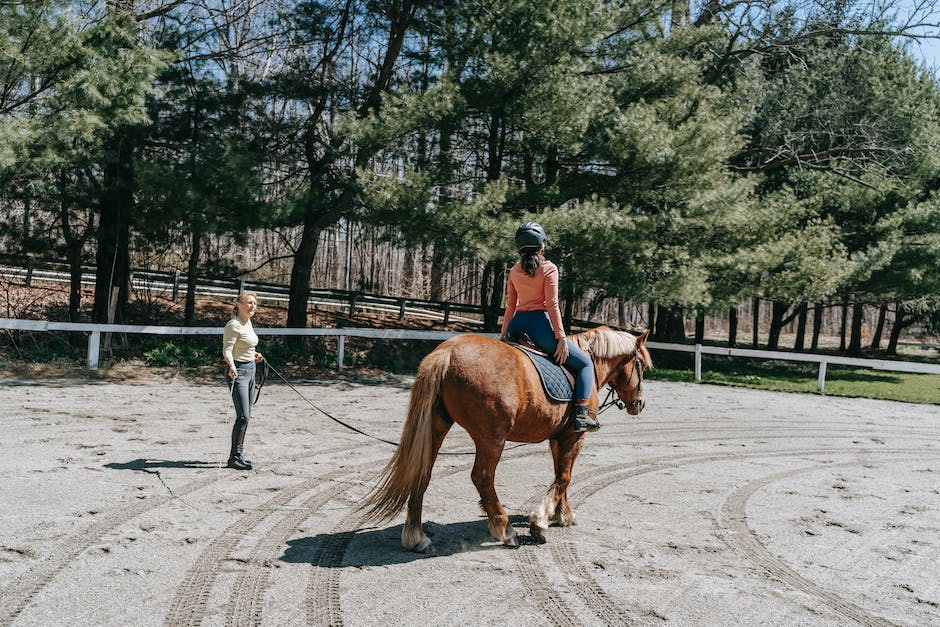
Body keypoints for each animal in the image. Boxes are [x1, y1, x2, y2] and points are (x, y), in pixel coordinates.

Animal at [360, 326, 652, 552]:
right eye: (640, 366)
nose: (640, 403)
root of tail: (447, 352)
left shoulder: (559, 438)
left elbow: (560, 475)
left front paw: (562, 514)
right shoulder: (575, 435)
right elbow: (565, 477)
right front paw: (541, 520)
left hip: (436, 427)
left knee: (422, 473)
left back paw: (417, 537)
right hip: (492, 438)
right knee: (482, 478)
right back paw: (505, 529)